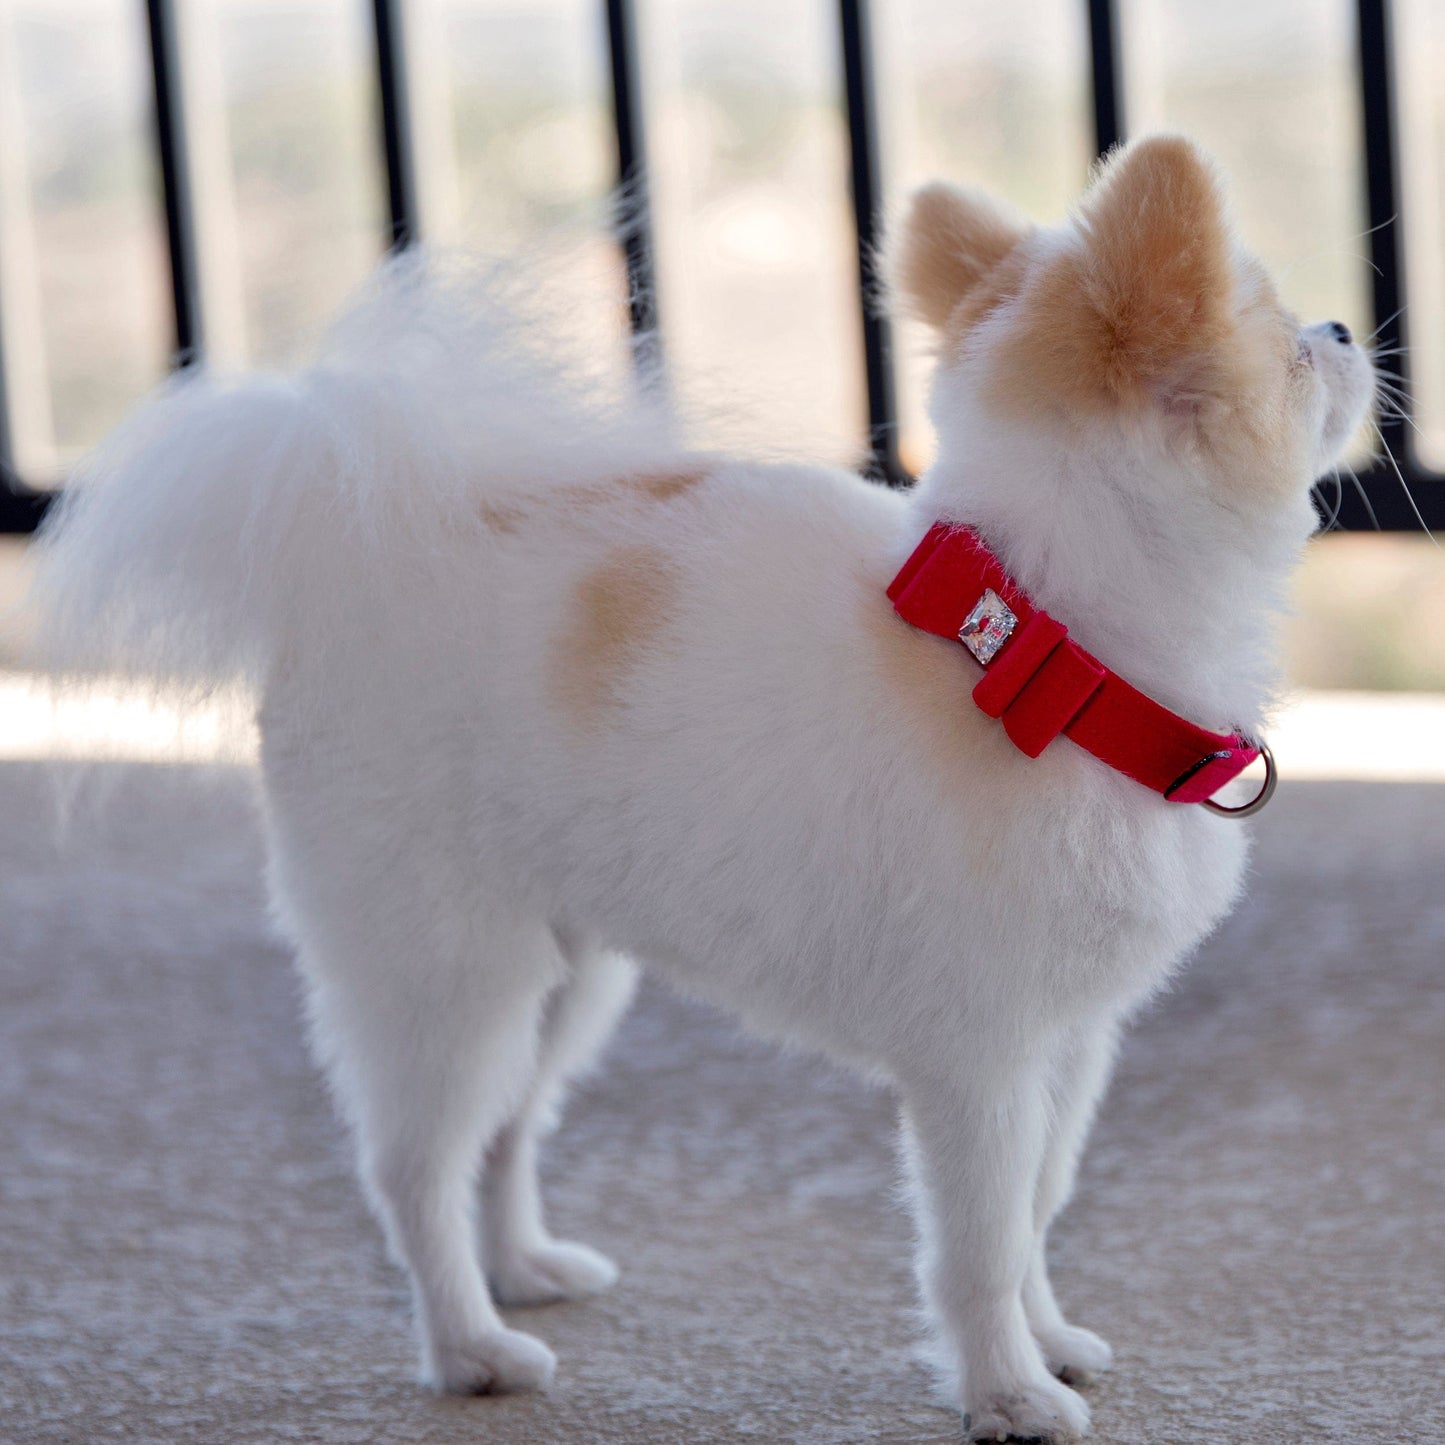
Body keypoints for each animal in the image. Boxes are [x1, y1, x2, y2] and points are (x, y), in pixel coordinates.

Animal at [31, 137, 1364, 1445]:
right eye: (1287, 343)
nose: (1346, 326)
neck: (1041, 655)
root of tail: (349, 542)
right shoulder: (974, 1059)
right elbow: (978, 1240)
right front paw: (1005, 1393)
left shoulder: (1068, 1038)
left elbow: (1038, 1205)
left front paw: (1048, 1341)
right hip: (444, 966)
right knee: (415, 1163)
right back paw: (470, 1344)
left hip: (566, 972)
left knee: (504, 1130)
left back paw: (521, 1268)